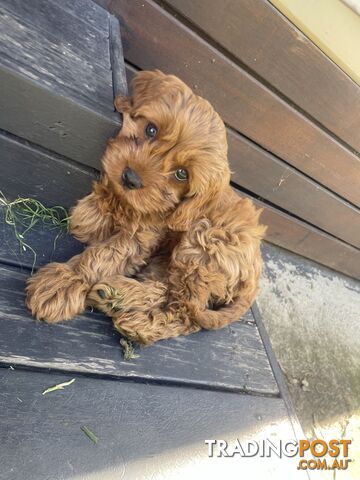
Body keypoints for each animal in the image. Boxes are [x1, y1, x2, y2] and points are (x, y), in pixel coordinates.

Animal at [25, 70, 266, 344]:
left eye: (182, 174)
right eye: (151, 129)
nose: (130, 178)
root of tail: (254, 281)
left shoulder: (142, 237)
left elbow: (104, 256)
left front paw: (65, 281)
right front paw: (92, 214)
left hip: (204, 243)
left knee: (184, 311)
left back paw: (139, 322)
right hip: (170, 262)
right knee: (164, 289)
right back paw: (117, 296)